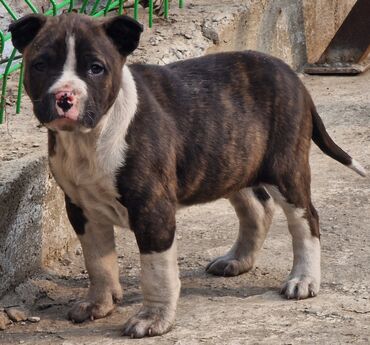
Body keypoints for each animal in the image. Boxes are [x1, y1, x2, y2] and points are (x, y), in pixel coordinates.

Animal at [10, 12, 366, 336]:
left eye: (95, 68)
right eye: (40, 65)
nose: (64, 97)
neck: (90, 137)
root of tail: (292, 76)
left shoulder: (152, 210)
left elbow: (156, 272)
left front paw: (153, 319)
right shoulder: (81, 208)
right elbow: (97, 260)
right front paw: (99, 303)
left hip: (285, 168)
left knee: (306, 220)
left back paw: (303, 280)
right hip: (230, 161)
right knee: (257, 208)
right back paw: (238, 260)